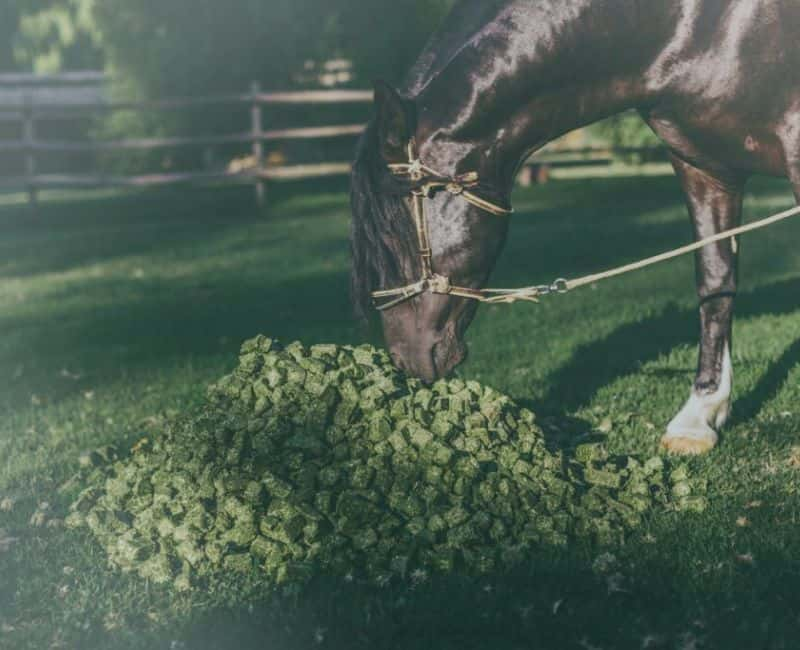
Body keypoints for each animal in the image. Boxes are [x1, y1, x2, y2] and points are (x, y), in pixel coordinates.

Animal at [348, 0, 800, 454]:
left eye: (395, 236)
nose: (407, 360)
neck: (693, 24)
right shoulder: (704, 169)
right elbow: (715, 282)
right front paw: (700, 414)